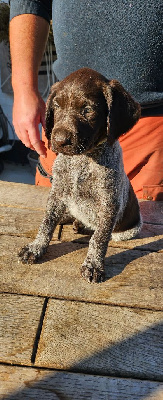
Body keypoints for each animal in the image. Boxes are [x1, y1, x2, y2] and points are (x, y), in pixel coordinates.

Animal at [18, 67, 141, 282]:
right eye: (56, 106)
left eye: (88, 110)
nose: (59, 141)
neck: (82, 160)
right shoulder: (57, 193)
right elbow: (47, 223)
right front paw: (36, 247)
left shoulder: (109, 203)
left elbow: (99, 238)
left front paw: (93, 264)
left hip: (128, 229)